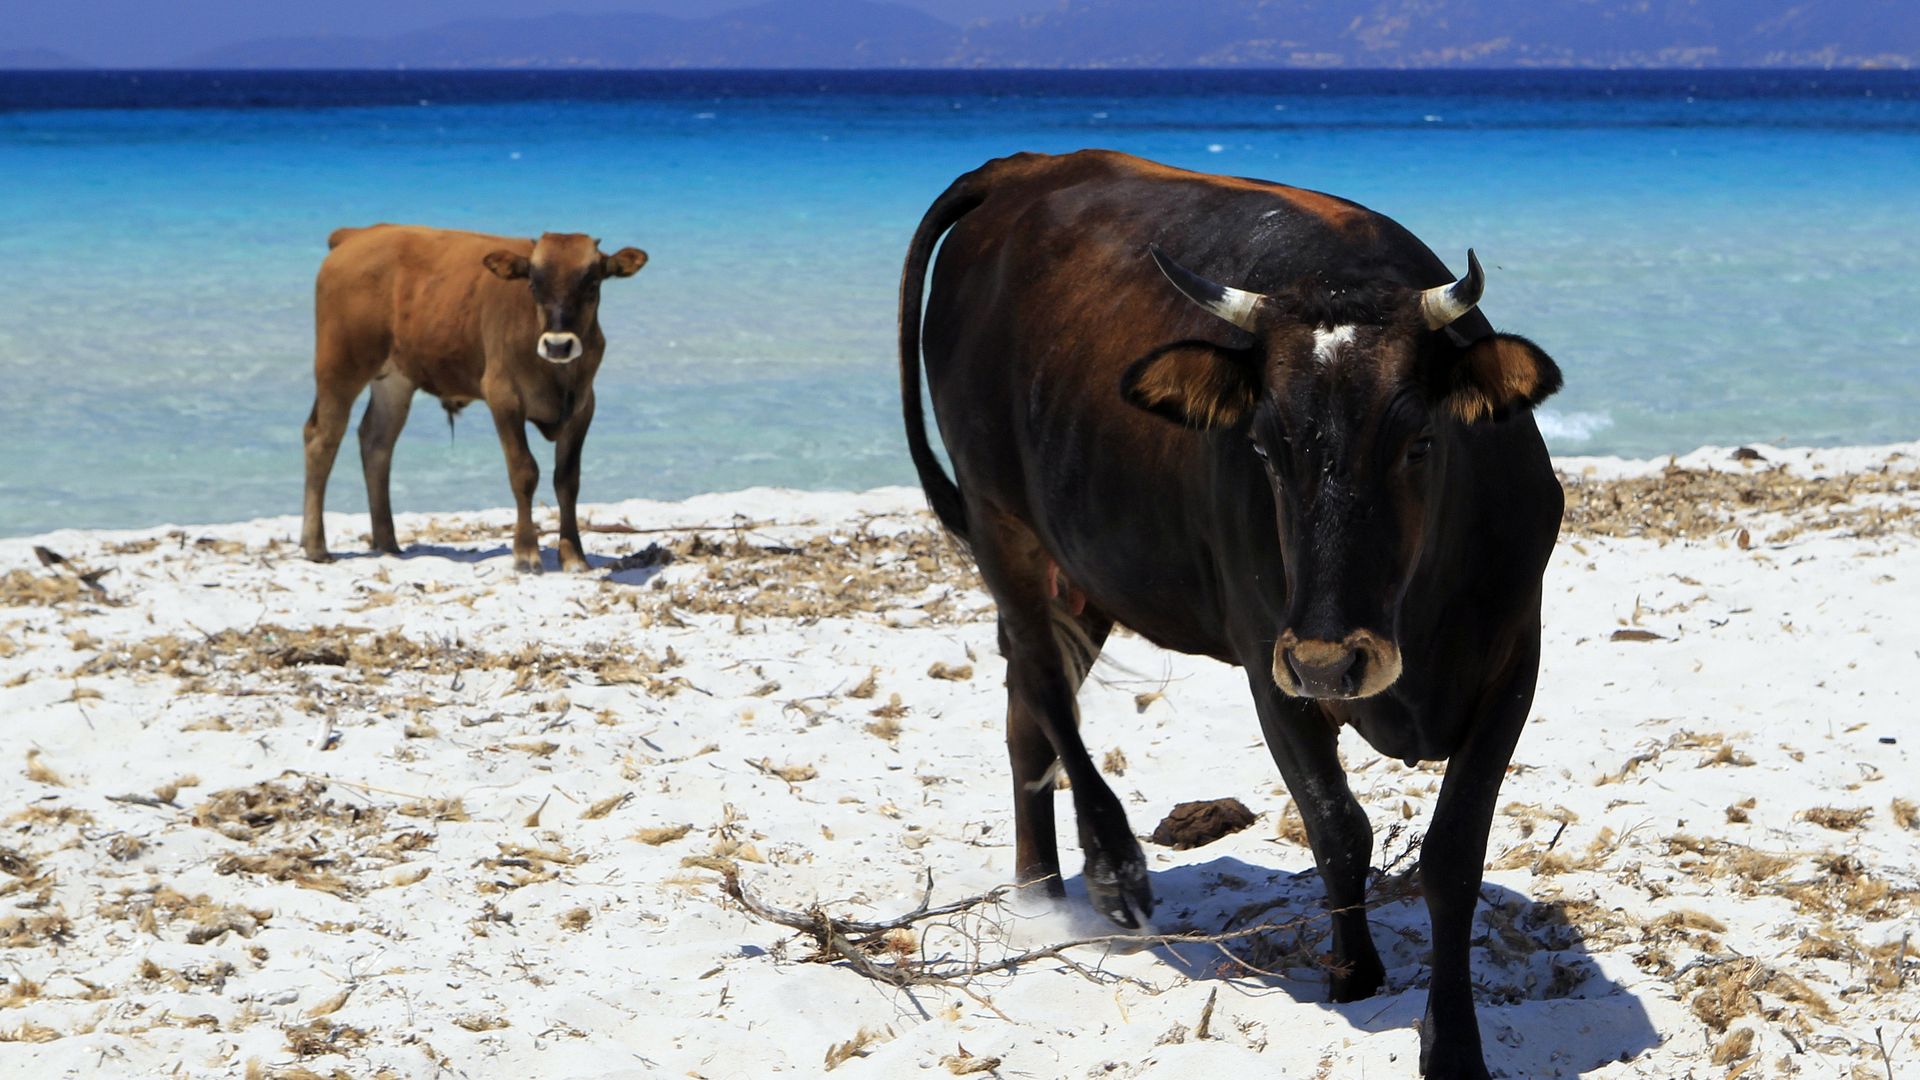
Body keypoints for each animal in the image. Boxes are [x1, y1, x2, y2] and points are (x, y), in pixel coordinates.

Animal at [301, 225, 648, 572]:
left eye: (592, 283)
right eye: (533, 284)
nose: (558, 345)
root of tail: (358, 234)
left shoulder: (583, 406)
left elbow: (567, 480)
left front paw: (573, 555)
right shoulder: (503, 397)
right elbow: (524, 471)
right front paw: (526, 552)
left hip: (395, 381)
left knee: (377, 441)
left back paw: (387, 541)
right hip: (340, 367)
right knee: (322, 438)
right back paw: (316, 545)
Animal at [898, 150, 1564, 1079]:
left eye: (1421, 442)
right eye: (1262, 446)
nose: (1332, 662)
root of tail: (1023, 168)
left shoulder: (1514, 660)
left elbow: (1454, 854)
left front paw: (1454, 1043)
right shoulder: (1268, 660)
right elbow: (1337, 826)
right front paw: (1354, 975)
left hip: (1085, 565)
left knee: (1026, 712)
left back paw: (1039, 892)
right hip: (1004, 525)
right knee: (1044, 688)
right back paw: (1112, 867)